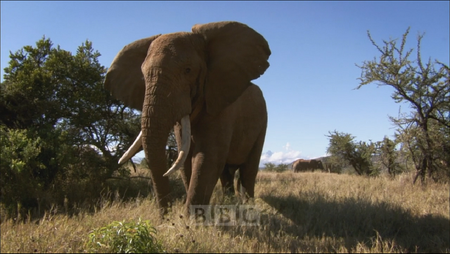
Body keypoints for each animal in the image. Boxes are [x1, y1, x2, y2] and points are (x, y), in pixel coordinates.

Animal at [103, 20, 268, 213]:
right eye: (143, 76)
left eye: (188, 70)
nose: (165, 216)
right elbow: (187, 158)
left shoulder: (221, 107)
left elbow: (208, 159)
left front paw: (191, 219)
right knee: (227, 173)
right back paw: (230, 202)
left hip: (262, 122)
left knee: (249, 170)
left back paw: (247, 205)